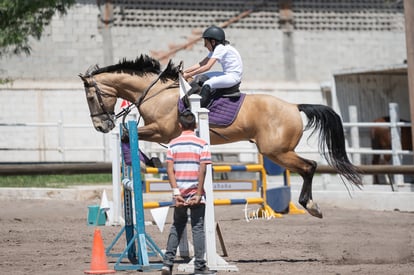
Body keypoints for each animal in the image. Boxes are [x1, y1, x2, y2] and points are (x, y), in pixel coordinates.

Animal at [78, 54, 362, 219]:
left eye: (91, 97)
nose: (102, 126)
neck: (156, 94)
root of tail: (294, 106)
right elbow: (128, 135)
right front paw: (151, 161)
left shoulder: (162, 129)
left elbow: (127, 134)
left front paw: (150, 161)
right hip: (277, 151)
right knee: (307, 167)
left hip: (276, 151)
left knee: (309, 166)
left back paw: (311, 206)